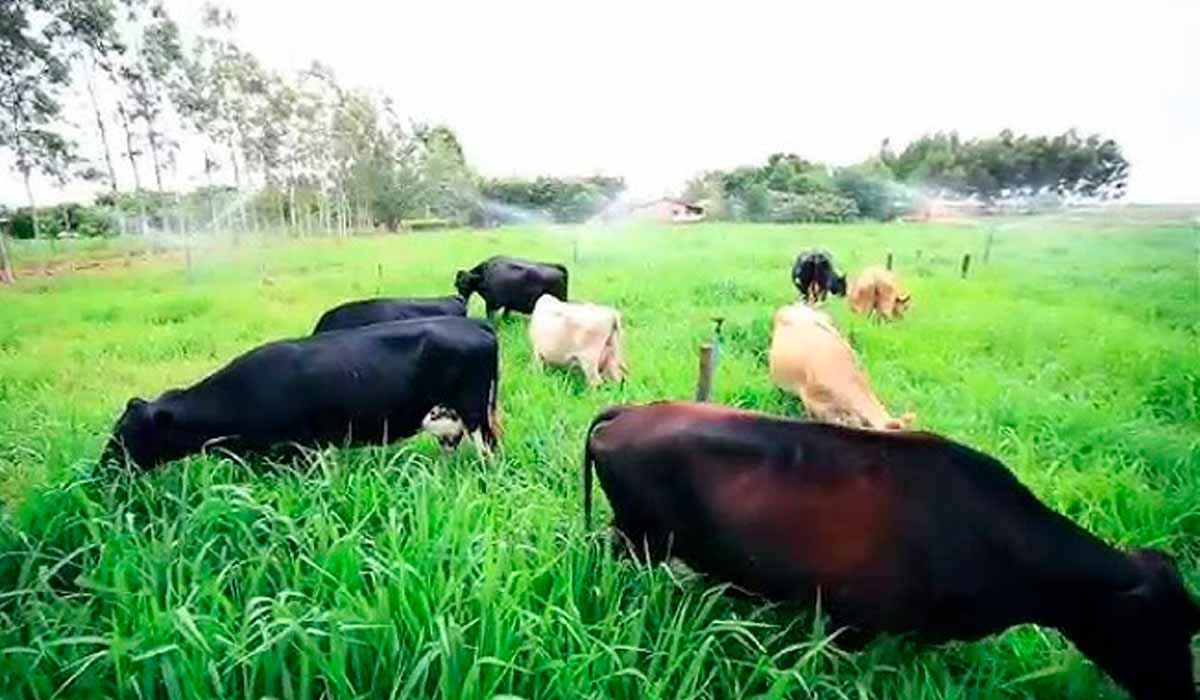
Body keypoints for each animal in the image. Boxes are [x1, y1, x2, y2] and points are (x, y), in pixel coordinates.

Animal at [97, 316, 501, 470]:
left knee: (488, 451)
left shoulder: (303, 449)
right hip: (448, 416)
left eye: (127, 435)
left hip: (475, 413)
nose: (102, 471)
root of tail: (474, 323)